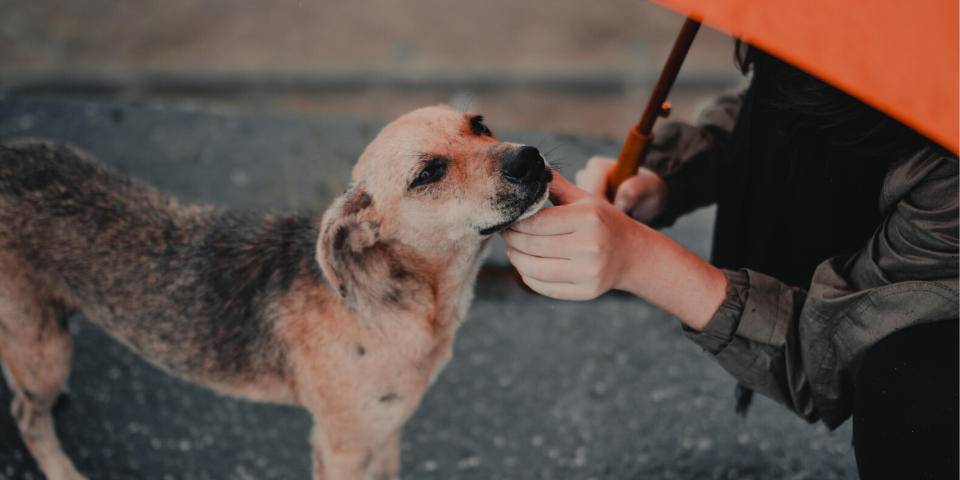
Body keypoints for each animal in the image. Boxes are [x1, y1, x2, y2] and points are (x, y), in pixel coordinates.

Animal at [0, 106, 552, 480]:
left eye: (480, 124)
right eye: (429, 173)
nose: (529, 159)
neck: (411, 300)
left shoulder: (386, 430)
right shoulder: (341, 446)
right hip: (44, 349)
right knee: (26, 416)